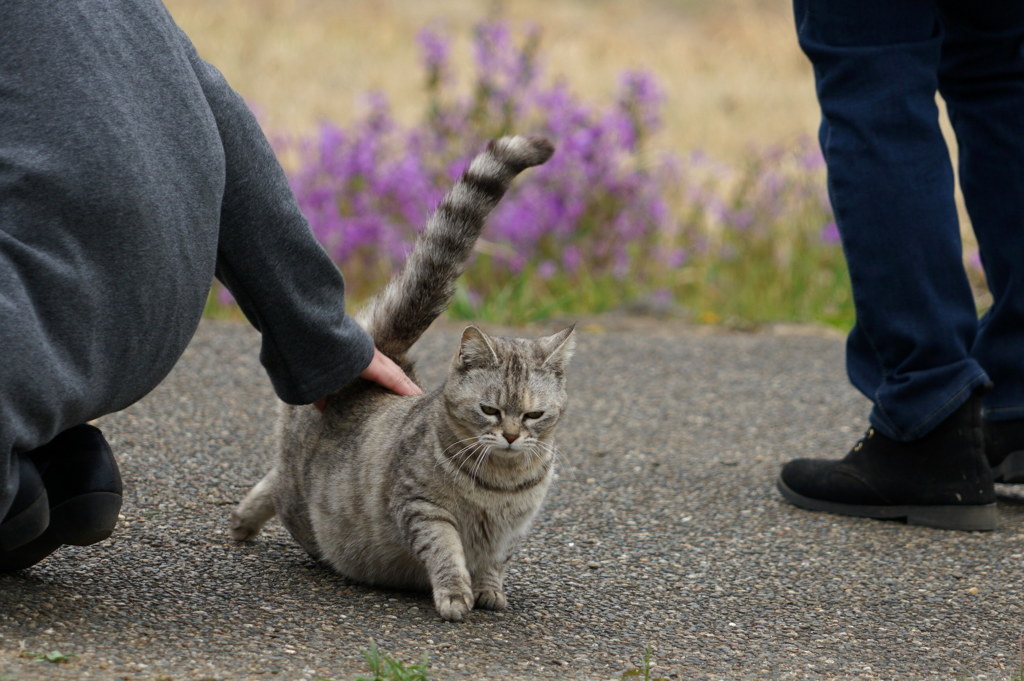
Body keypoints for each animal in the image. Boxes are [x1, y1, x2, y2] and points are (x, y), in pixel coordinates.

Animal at [226, 135, 577, 618]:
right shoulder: (423, 509)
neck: (500, 483)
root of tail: (383, 354)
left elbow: (495, 562)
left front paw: (490, 591)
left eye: (533, 415)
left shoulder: (513, 532)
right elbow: (447, 553)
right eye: (489, 410)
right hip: (301, 503)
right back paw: (245, 522)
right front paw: (455, 594)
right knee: (277, 483)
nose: (509, 436)